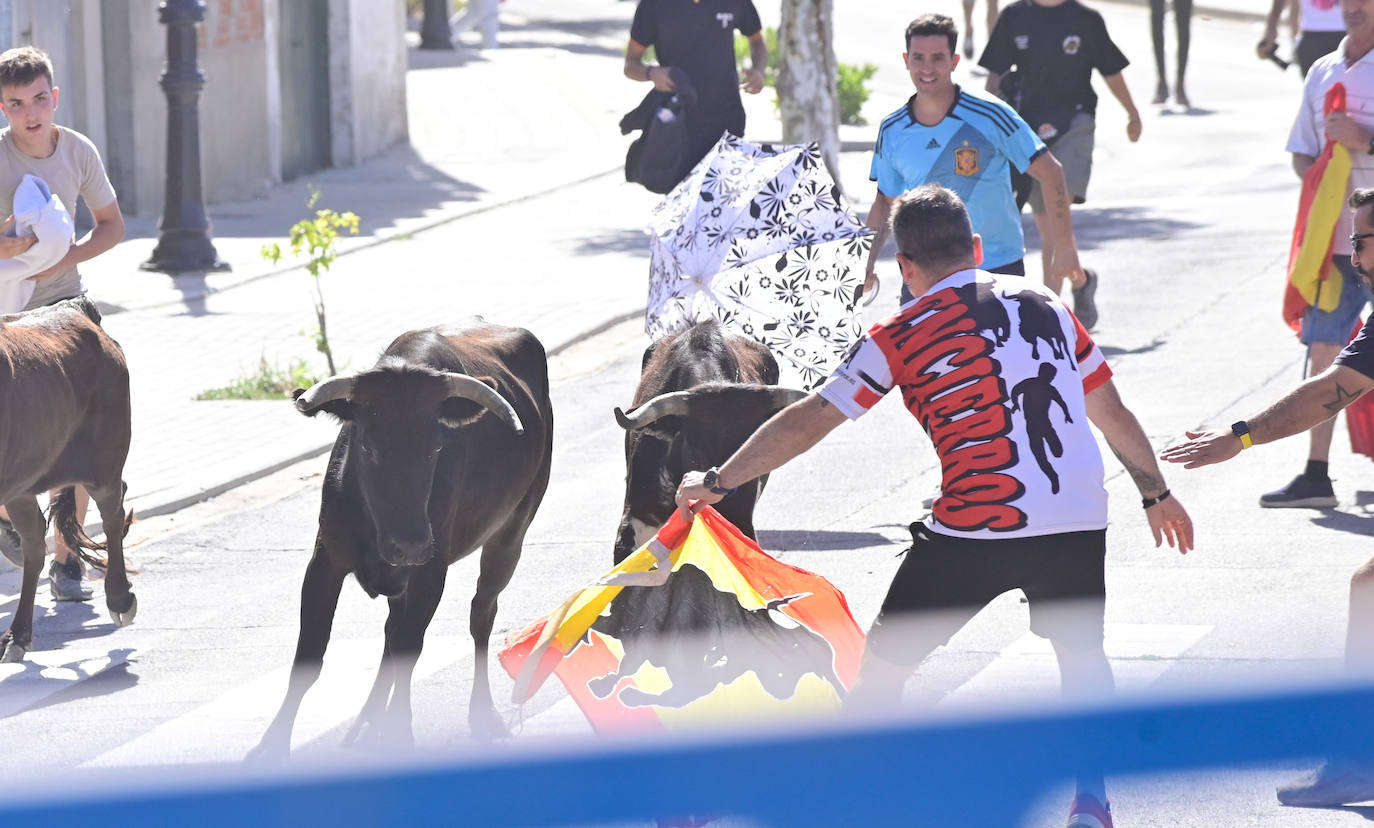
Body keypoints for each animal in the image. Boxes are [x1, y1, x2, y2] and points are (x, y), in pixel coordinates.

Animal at [0, 295, 136, 664]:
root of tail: (74, 308)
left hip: (105, 457)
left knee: (112, 513)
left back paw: (120, 599)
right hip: (22, 481)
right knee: (34, 540)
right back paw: (17, 636)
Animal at [250, 321, 549, 763]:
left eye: (436, 448)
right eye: (367, 447)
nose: (409, 545)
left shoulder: (431, 570)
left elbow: (410, 648)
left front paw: (402, 733)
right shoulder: (325, 559)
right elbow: (311, 654)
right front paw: (270, 747)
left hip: (512, 533)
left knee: (481, 615)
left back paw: (482, 715)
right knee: (392, 633)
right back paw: (364, 725)